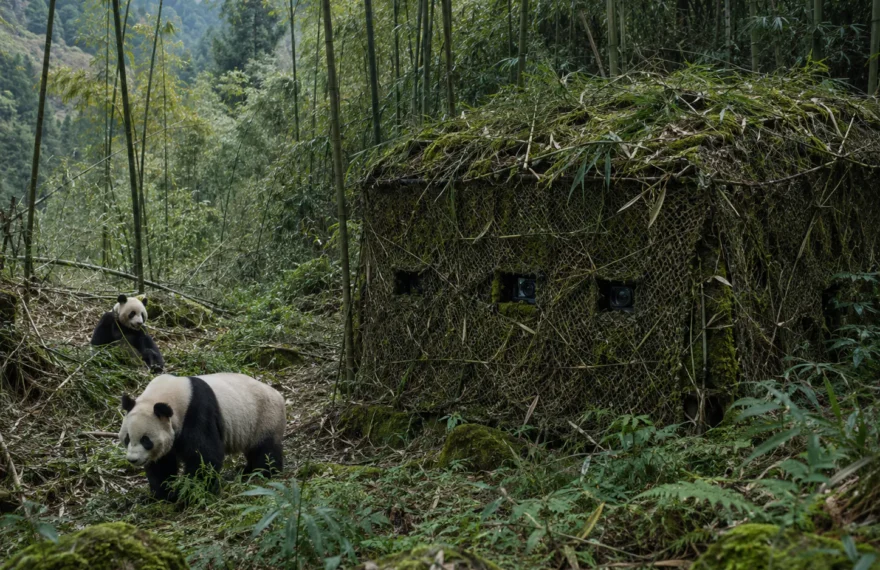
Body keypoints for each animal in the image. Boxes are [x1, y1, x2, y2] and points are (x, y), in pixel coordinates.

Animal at [119, 373, 286, 502]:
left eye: (146, 440)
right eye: (127, 439)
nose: (133, 460)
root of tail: (278, 395)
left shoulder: (197, 411)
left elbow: (204, 455)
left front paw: (190, 491)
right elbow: (162, 464)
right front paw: (161, 494)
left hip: (265, 417)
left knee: (265, 450)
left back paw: (264, 472)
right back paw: (246, 470)